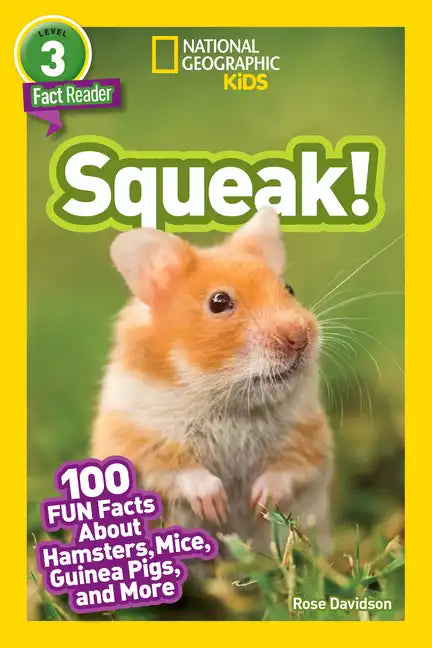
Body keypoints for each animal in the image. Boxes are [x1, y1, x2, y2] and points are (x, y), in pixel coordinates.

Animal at [91, 207, 333, 554]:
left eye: (289, 289)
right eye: (219, 302)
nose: (300, 337)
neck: (227, 400)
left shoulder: (309, 436)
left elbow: (289, 468)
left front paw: (258, 501)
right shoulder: (138, 440)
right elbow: (180, 470)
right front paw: (217, 508)